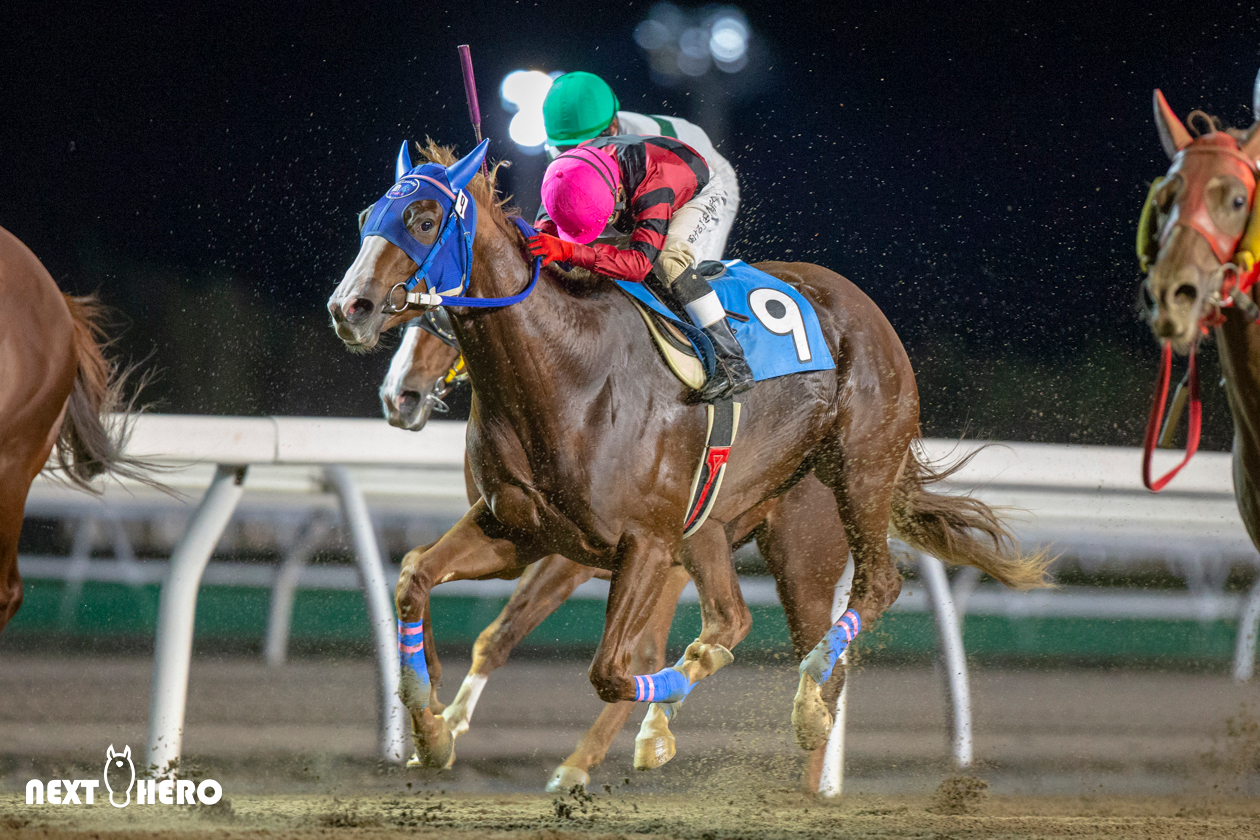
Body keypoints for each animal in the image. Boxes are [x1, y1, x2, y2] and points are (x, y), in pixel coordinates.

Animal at [329, 141, 1047, 772]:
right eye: (367, 218)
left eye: (423, 220)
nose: (349, 307)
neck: (566, 369)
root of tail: (868, 311)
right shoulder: (521, 530)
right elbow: (415, 579)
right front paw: (430, 726)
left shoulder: (641, 543)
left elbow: (616, 669)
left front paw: (642, 733)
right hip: (713, 525)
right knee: (732, 617)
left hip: (846, 490)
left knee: (863, 602)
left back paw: (803, 721)